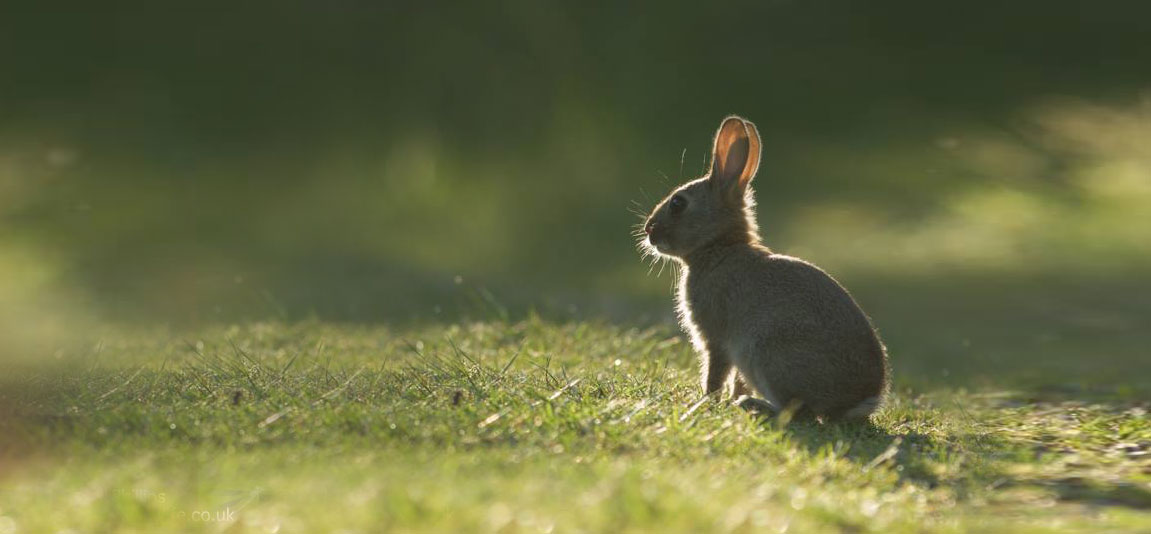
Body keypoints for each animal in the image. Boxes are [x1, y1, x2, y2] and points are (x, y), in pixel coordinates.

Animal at [639, 115, 888, 421]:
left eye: (678, 203)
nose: (648, 229)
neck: (719, 247)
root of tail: (857, 401)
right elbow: (736, 379)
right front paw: (728, 398)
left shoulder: (717, 339)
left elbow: (715, 374)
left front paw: (706, 402)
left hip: (768, 353)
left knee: (797, 411)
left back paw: (752, 405)